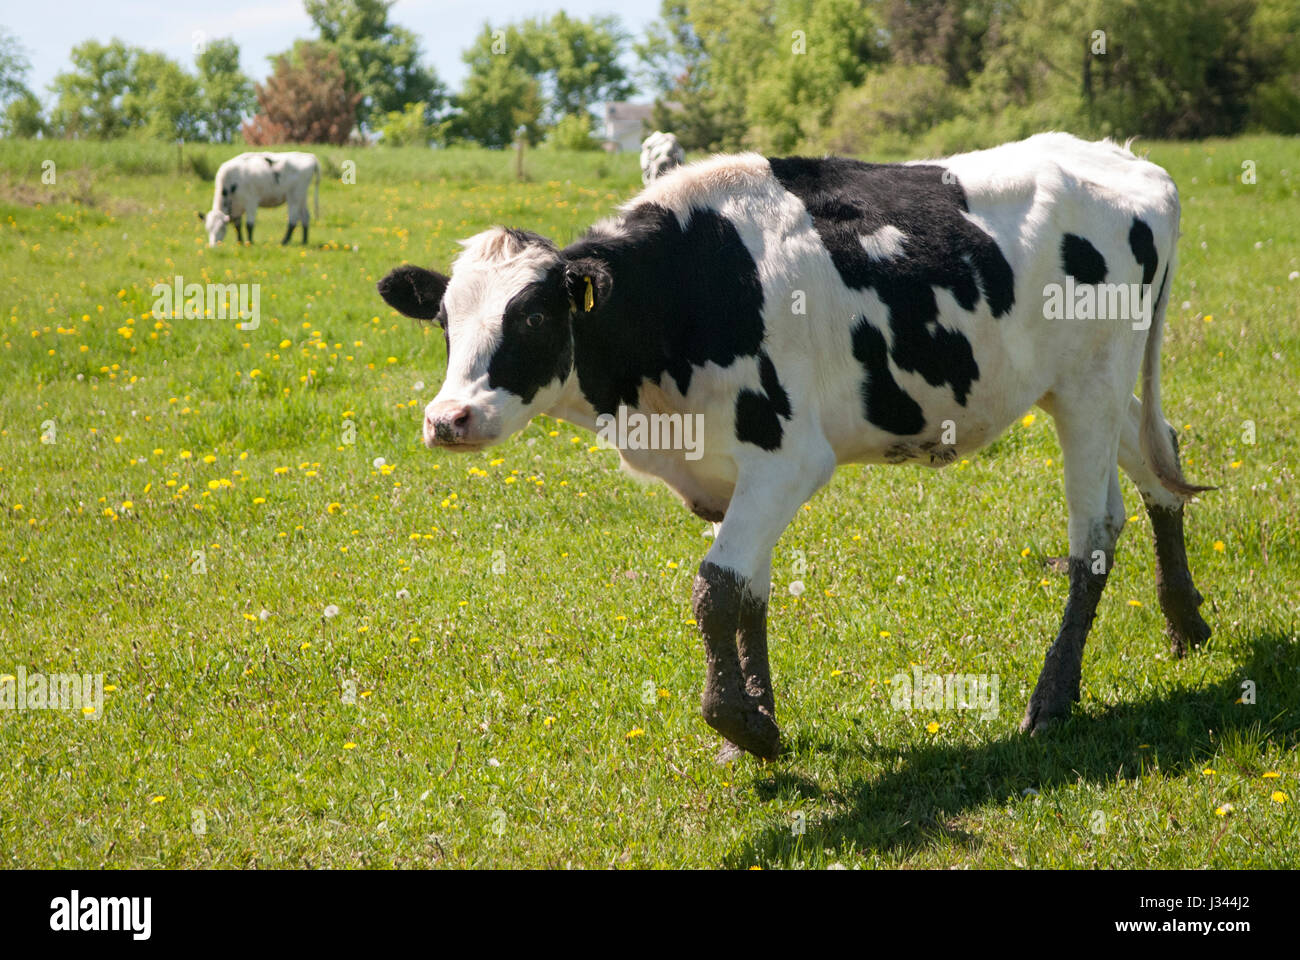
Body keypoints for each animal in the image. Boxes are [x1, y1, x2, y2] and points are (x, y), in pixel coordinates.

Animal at [376, 133, 1212, 761]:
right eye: (445, 321)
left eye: (533, 318)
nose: (448, 418)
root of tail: (1130, 162)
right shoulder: (731, 471)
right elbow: (748, 593)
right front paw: (756, 718)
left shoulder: (788, 457)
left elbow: (715, 587)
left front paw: (747, 729)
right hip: (1081, 387)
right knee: (1159, 461)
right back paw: (1186, 623)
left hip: (1091, 381)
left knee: (1093, 536)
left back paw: (1052, 699)